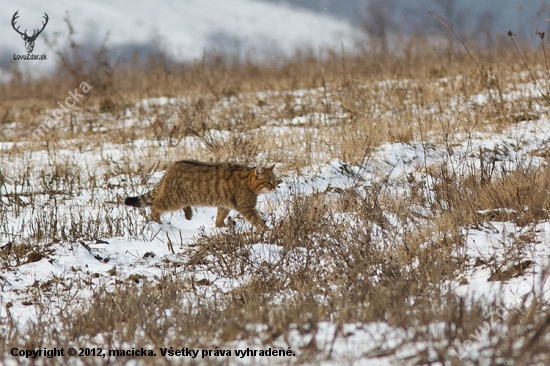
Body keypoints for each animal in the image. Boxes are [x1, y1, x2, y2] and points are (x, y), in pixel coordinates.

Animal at [125, 159, 280, 230]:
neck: (247, 181)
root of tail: (170, 169)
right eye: (268, 182)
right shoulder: (246, 207)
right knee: (155, 205)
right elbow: (257, 220)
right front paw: (268, 230)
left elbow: (219, 217)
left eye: (275, 180)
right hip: (172, 200)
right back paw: (157, 222)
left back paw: (188, 215)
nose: (275, 187)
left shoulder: (225, 204)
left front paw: (221, 227)